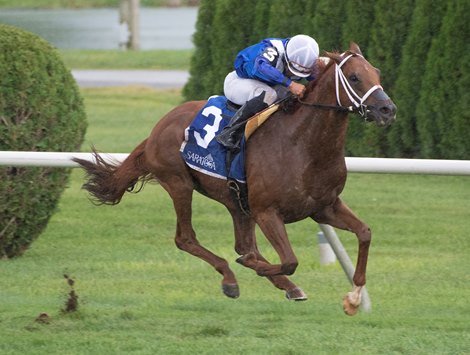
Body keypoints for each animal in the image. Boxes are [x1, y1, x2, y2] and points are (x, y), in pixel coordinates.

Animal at [74, 43, 396, 316]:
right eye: (354, 77)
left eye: (377, 72)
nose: (387, 109)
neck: (303, 145)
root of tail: (158, 127)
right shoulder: (267, 212)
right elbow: (289, 260)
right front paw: (258, 268)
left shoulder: (324, 206)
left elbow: (364, 233)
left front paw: (353, 298)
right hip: (179, 183)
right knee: (186, 238)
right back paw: (231, 278)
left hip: (236, 201)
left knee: (241, 244)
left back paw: (284, 286)